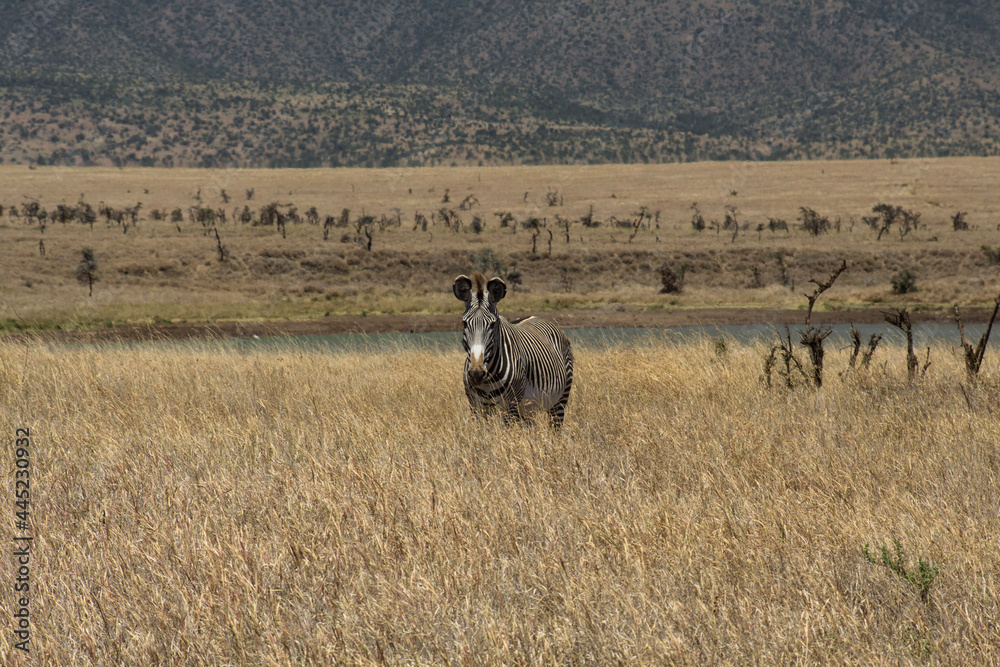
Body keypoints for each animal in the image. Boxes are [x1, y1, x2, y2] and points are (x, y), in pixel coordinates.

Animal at [453, 273, 574, 428]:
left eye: (493, 324)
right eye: (464, 323)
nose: (476, 373)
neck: (488, 379)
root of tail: (536, 316)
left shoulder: (511, 405)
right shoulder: (476, 406)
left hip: (559, 401)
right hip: (527, 410)